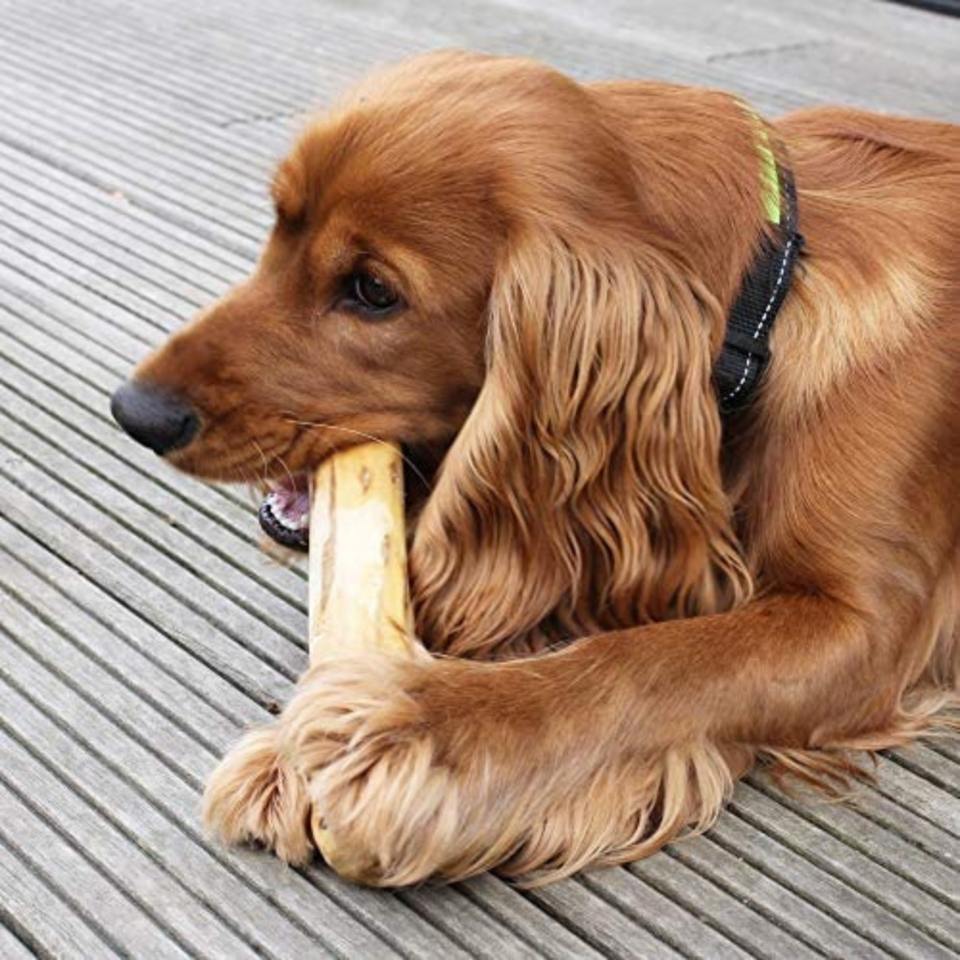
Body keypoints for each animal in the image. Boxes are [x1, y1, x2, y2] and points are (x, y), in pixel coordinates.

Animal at [111, 51, 960, 886]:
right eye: (279, 227)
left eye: (373, 291)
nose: (135, 411)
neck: (771, 297)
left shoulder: (863, 622)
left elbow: (655, 661)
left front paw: (425, 727)